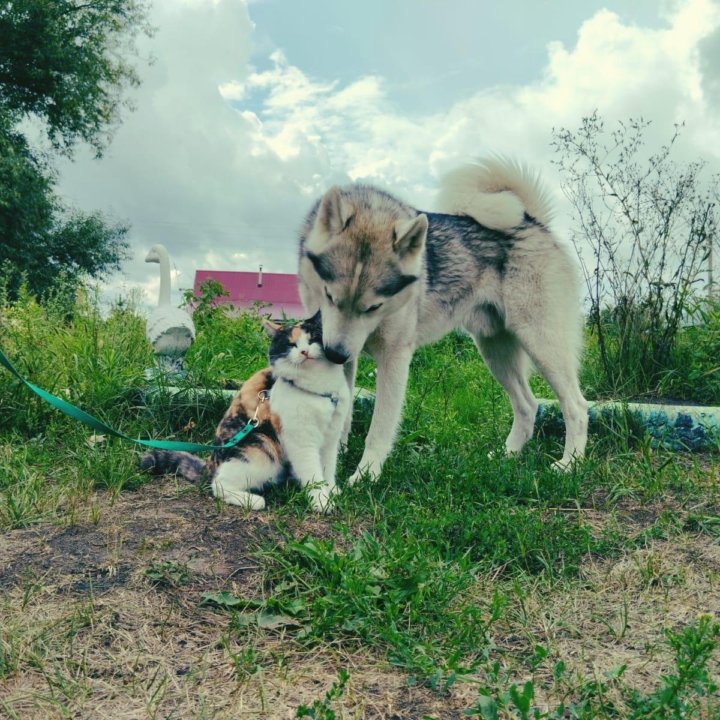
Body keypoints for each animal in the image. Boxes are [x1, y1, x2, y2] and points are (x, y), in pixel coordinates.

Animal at [139, 314, 350, 512]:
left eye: (313, 338)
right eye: (291, 344)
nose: (304, 351)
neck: (319, 389)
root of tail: (210, 465)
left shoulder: (331, 440)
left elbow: (328, 468)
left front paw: (331, 490)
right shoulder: (302, 442)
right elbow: (313, 473)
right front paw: (321, 501)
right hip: (260, 452)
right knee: (218, 485)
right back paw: (254, 501)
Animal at [296, 158, 588, 484]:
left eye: (374, 307)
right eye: (329, 296)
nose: (334, 354)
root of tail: (533, 222)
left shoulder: (394, 358)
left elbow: (379, 430)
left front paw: (365, 476)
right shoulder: (346, 354)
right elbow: (342, 417)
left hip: (542, 345)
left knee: (576, 406)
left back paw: (570, 464)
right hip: (495, 352)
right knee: (528, 405)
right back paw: (508, 455)